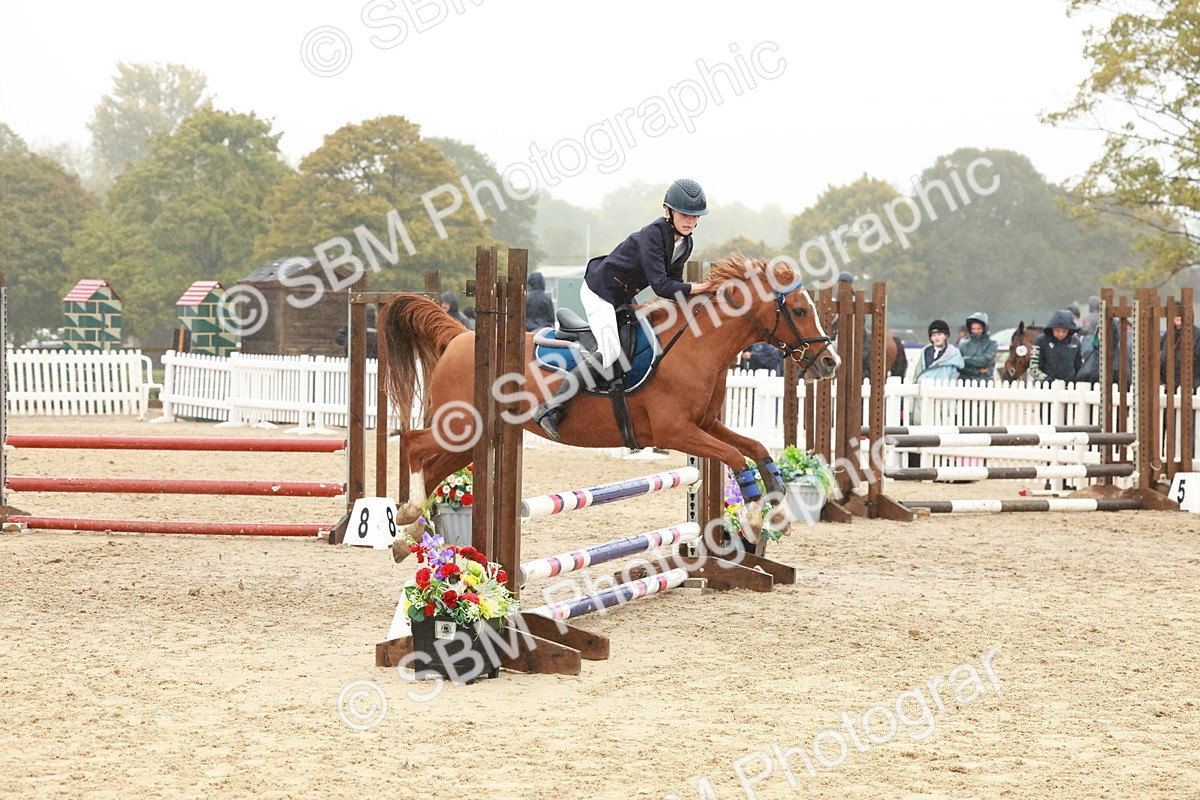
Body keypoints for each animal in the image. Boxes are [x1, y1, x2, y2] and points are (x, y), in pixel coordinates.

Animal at [377, 255, 841, 543]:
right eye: (799, 310)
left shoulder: (705, 425)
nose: (830, 362)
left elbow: (756, 448)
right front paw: (754, 515)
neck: (697, 345)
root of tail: (460, 337)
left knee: (434, 468)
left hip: (475, 437)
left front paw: (778, 510)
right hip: (462, 425)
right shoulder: (676, 431)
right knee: (414, 444)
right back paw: (408, 513)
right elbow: (734, 457)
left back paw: (409, 533)